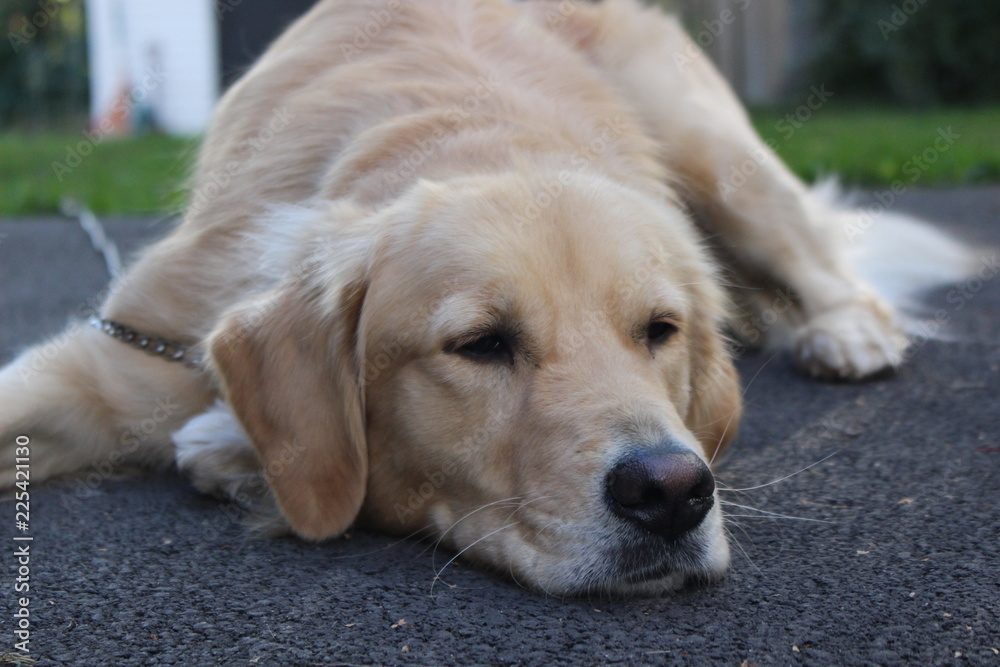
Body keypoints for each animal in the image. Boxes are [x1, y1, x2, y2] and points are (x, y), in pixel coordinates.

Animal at [0, 0, 971, 596]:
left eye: (659, 330)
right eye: (481, 344)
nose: (672, 492)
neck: (472, 133)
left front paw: (228, 447)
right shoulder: (117, 354)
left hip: (716, 152)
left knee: (831, 269)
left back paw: (846, 332)